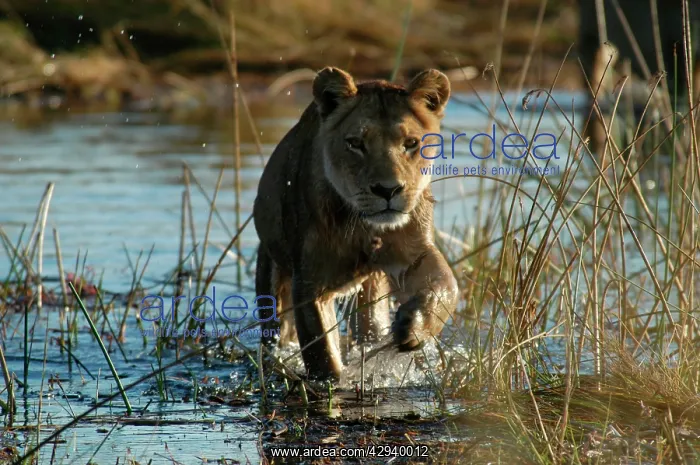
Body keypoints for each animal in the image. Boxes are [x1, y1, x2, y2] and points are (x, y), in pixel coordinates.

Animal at [253, 67, 459, 380]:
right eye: (356, 144)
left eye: (411, 143)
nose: (388, 190)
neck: (364, 225)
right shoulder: (310, 282)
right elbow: (322, 351)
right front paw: (333, 384)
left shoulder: (412, 251)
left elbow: (447, 284)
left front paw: (414, 326)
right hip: (272, 278)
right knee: (277, 332)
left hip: (371, 292)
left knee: (370, 325)